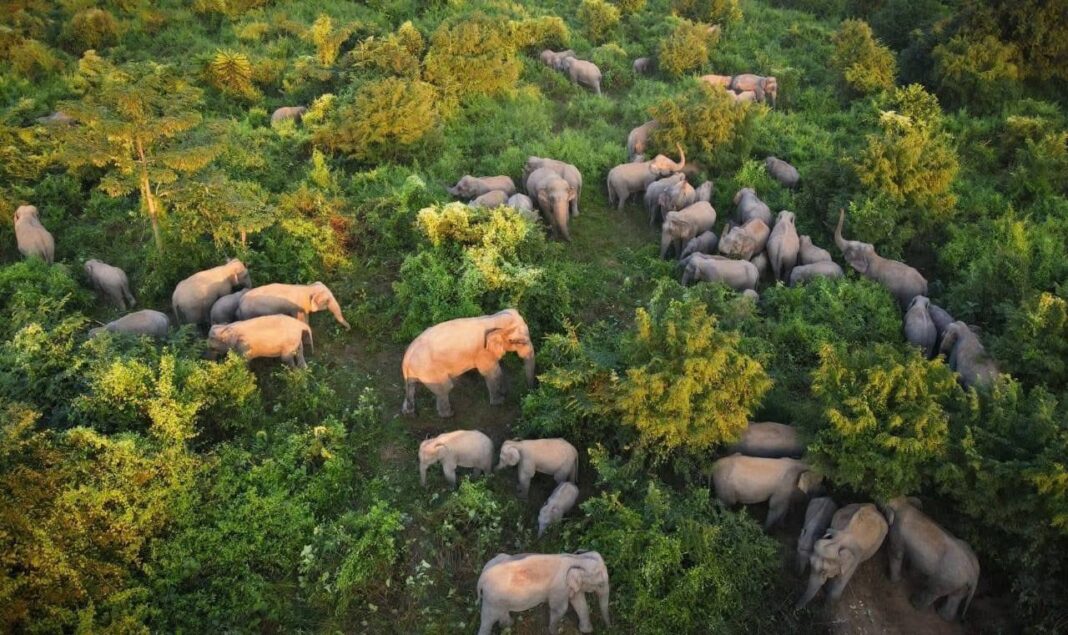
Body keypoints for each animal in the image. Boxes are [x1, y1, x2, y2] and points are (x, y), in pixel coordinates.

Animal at [402, 309, 535, 418]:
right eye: (518, 342)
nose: (529, 391)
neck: (492, 319)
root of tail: (406, 360)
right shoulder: (483, 352)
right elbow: (492, 372)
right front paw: (499, 401)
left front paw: (504, 393)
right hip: (430, 371)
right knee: (445, 388)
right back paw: (449, 414)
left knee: (412, 388)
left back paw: (408, 412)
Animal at [477, 551, 610, 635]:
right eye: (600, 584)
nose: (609, 627)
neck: (576, 559)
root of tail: (481, 578)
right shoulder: (559, 588)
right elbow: (560, 609)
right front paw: (555, 632)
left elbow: (579, 602)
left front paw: (587, 631)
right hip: (492, 599)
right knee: (487, 620)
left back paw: (509, 625)